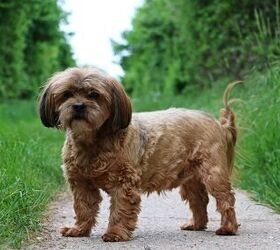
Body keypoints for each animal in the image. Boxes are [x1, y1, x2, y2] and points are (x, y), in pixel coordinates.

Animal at [38, 67, 241, 241]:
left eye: (94, 94)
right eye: (67, 94)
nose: (79, 106)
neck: (92, 141)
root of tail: (218, 124)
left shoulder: (124, 183)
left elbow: (120, 209)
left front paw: (115, 233)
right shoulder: (81, 184)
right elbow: (83, 208)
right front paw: (78, 230)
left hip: (212, 173)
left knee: (226, 199)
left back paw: (228, 228)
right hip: (190, 178)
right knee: (199, 200)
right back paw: (196, 224)